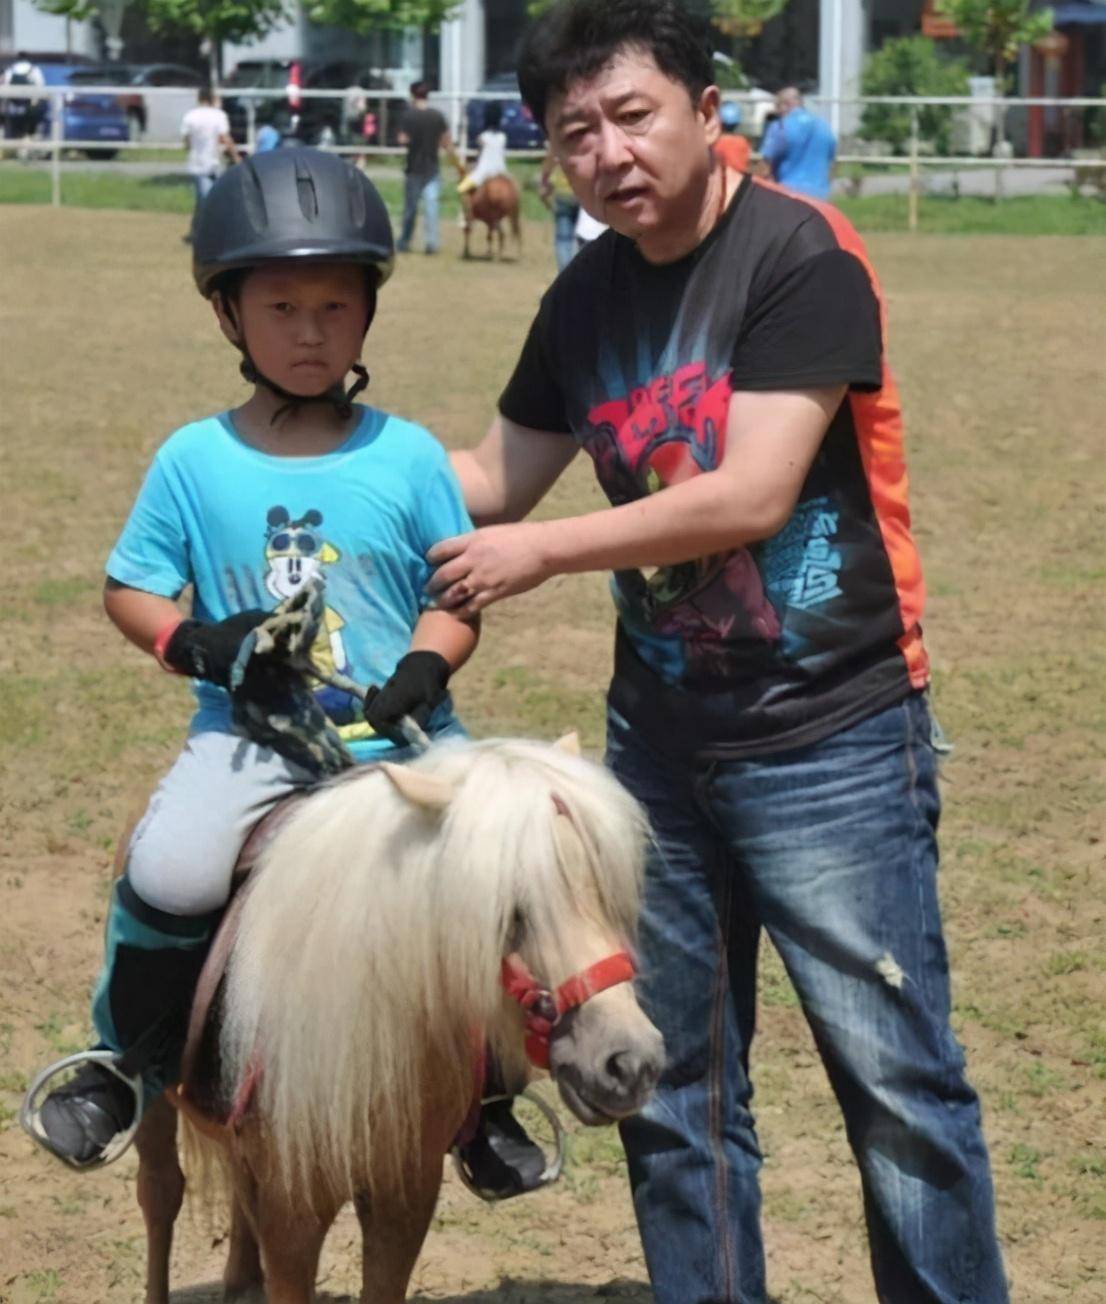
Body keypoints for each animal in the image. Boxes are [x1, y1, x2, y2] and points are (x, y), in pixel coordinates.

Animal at [131, 740, 665, 1298]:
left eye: (605, 892)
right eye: (510, 911)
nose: (630, 1064)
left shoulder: (404, 1196)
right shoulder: (292, 1212)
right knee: (161, 1195)